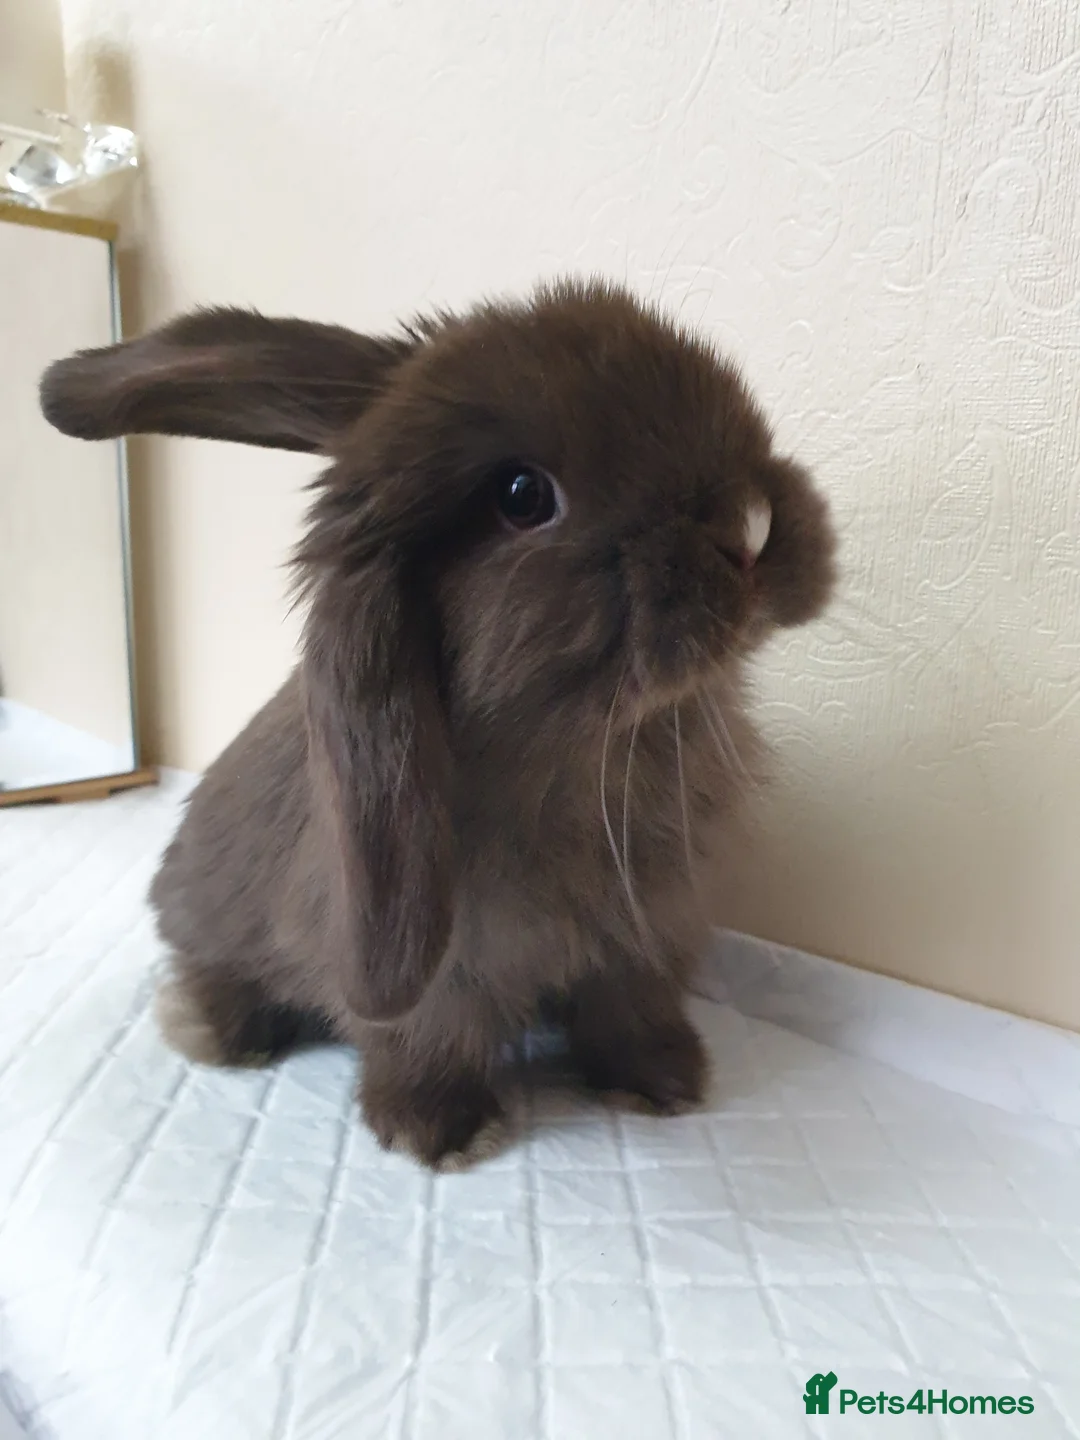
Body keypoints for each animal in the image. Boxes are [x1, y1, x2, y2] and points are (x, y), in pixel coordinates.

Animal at [40, 277, 836, 1171]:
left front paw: (663, 1085)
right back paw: (221, 1034)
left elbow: (632, 1009)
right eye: (523, 496)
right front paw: (438, 1132)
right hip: (212, 923)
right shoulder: (436, 967)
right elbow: (427, 1037)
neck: (600, 742)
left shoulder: (649, 933)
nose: (752, 524)